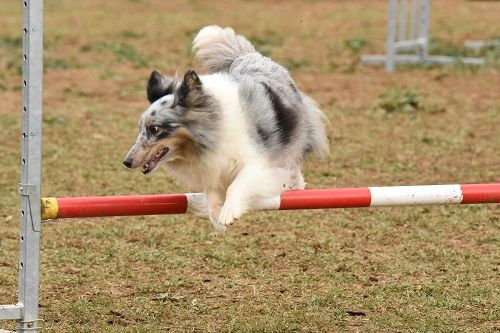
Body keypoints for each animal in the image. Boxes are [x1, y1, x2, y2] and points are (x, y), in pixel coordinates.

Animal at [123, 25, 330, 231]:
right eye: (141, 128)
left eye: (154, 129)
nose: (127, 162)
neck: (212, 129)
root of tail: (248, 55)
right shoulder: (213, 166)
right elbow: (211, 196)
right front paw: (216, 217)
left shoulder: (258, 162)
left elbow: (238, 184)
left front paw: (229, 212)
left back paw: (295, 183)